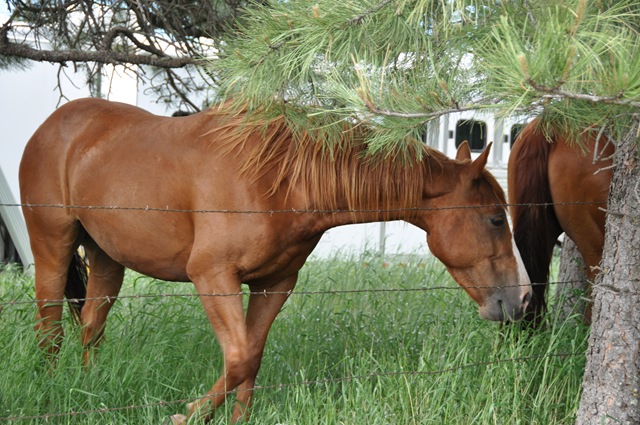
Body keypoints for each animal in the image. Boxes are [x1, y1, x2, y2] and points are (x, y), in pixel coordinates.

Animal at [18, 98, 528, 420]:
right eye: (494, 219)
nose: (520, 300)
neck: (282, 178)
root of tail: (54, 125)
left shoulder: (274, 283)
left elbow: (252, 359)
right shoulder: (212, 276)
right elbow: (239, 358)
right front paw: (187, 415)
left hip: (106, 256)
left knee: (90, 326)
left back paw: (88, 389)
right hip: (52, 245)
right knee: (49, 327)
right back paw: (51, 391)